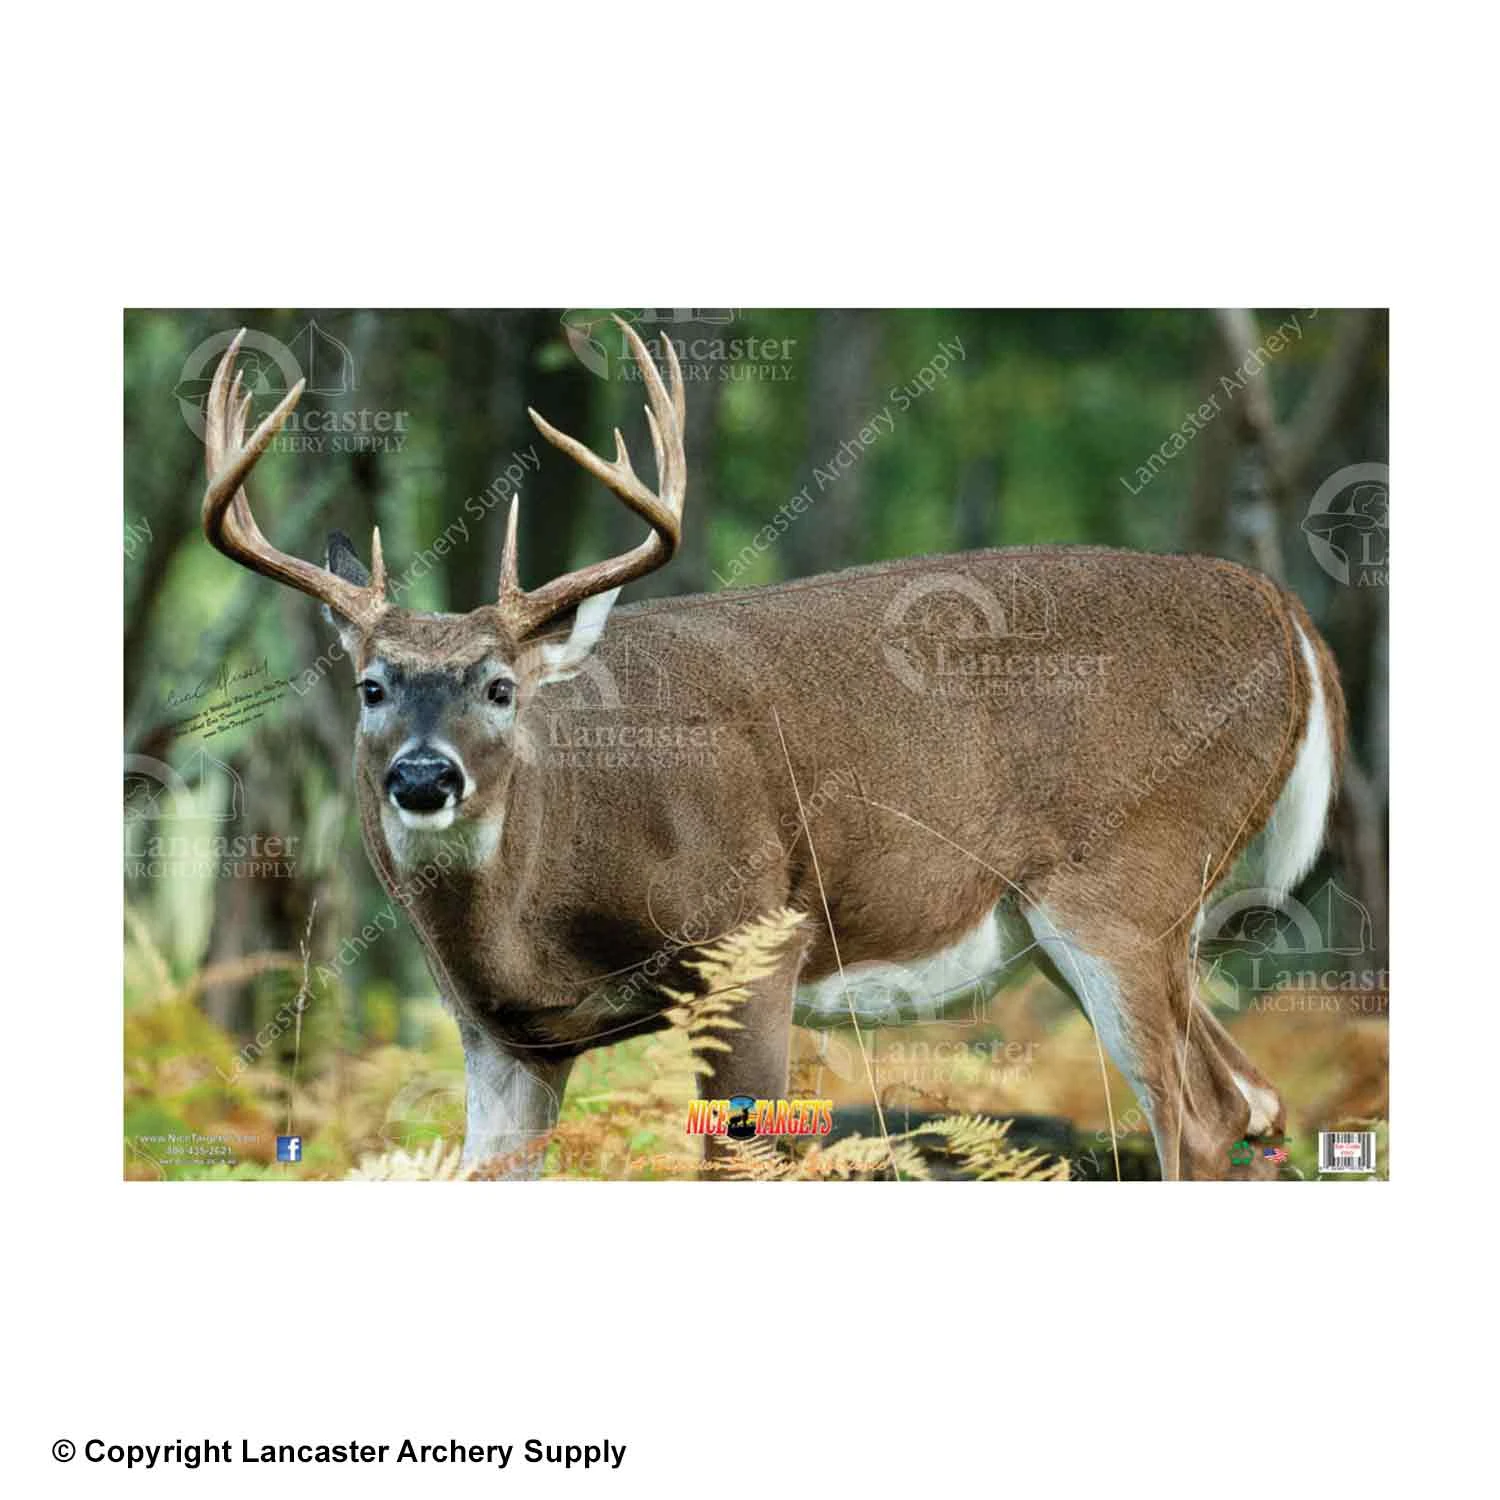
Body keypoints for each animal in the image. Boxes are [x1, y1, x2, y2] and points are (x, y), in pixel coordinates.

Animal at [200, 319, 1346, 1181]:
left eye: (500, 687)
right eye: (372, 687)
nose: (423, 777)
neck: (540, 909)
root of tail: (1286, 613)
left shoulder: (756, 936)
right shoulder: (501, 1035)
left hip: (1125, 881)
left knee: (1199, 1112)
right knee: (1256, 1096)